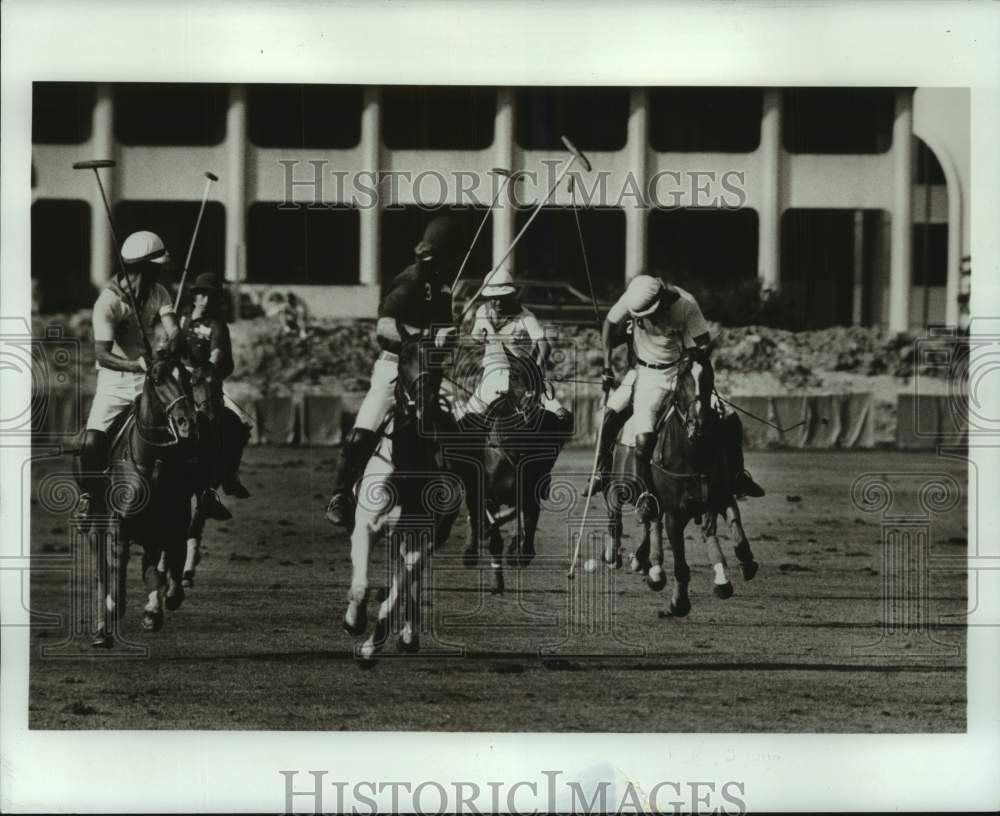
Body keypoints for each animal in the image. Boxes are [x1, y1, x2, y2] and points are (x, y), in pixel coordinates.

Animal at [81, 350, 201, 644]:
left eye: (188, 376)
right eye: (156, 378)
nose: (187, 423)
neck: (154, 460)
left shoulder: (168, 528)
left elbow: (158, 571)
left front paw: (153, 612)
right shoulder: (121, 525)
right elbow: (117, 566)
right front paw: (113, 611)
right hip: (96, 521)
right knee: (102, 567)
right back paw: (102, 627)